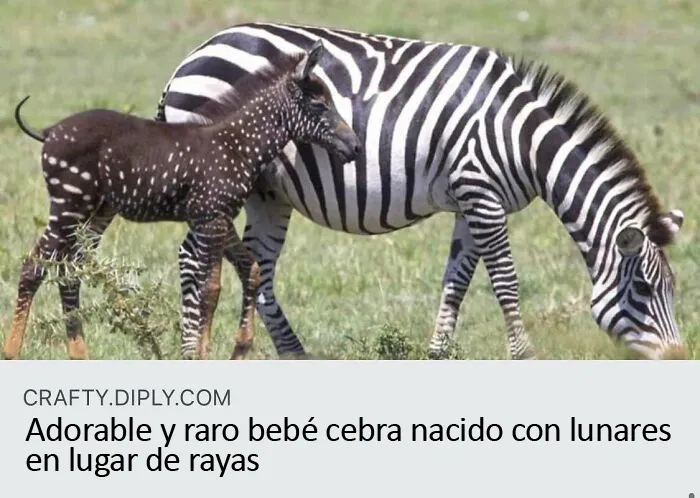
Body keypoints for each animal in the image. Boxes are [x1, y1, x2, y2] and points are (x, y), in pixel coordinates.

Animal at [4, 41, 361, 360]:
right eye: (320, 105)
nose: (356, 147)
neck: (236, 145)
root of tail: (50, 131)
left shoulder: (216, 217)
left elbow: (249, 269)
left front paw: (239, 349)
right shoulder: (211, 218)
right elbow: (212, 288)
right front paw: (202, 354)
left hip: (95, 211)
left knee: (70, 269)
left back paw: (80, 355)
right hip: (68, 205)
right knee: (34, 265)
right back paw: (11, 352)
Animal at [156, 22, 687, 360]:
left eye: (672, 288)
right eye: (643, 289)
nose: (679, 357)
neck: (520, 138)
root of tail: (193, 54)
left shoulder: (472, 202)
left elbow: (456, 283)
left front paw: (437, 355)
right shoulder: (481, 193)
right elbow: (505, 282)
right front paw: (525, 357)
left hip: (268, 193)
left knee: (259, 268)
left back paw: (296, 356)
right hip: (221, 179)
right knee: (192, 259)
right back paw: (191, 353)